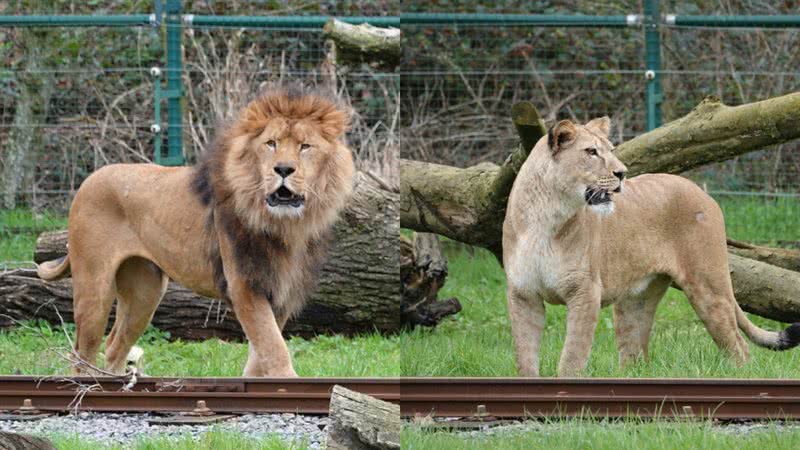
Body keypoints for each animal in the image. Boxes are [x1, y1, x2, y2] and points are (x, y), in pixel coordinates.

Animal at [36, 86, 356, 374]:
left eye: (305, 146)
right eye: (271, 143)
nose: (283, 169)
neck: (285, 224)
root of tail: (89, 180)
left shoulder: (281, 291)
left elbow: (261, 354)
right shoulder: (244, 284)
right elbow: (274, 350)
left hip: (145, 291)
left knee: (115, 346)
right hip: (94, 287)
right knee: (83, 353)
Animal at [504, 116, 796, 376]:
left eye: (611, 150)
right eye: (591, 152)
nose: (622, 173)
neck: (545, 218)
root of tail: (701, 191)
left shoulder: (584, 291)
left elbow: (572, 357)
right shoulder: (522, 294)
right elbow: (525, 357)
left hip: (709, 288)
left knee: (739, 347)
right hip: (634, 301)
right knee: (635, 357)